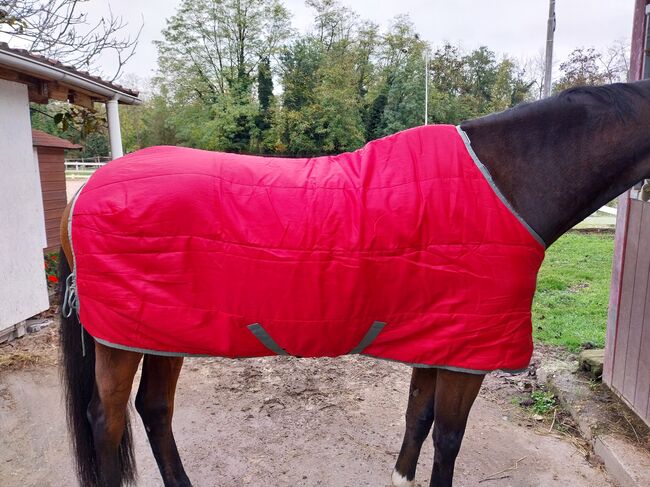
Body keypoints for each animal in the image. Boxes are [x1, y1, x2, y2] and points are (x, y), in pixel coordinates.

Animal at [58, 81, 648, 487]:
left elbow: (418, 419)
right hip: (121, 341)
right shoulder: (465, 354)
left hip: (163, 332)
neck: (506, 183)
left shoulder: (437, 338)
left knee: (154, 410)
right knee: (106, 421)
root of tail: (84, 190)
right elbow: (449, 438)